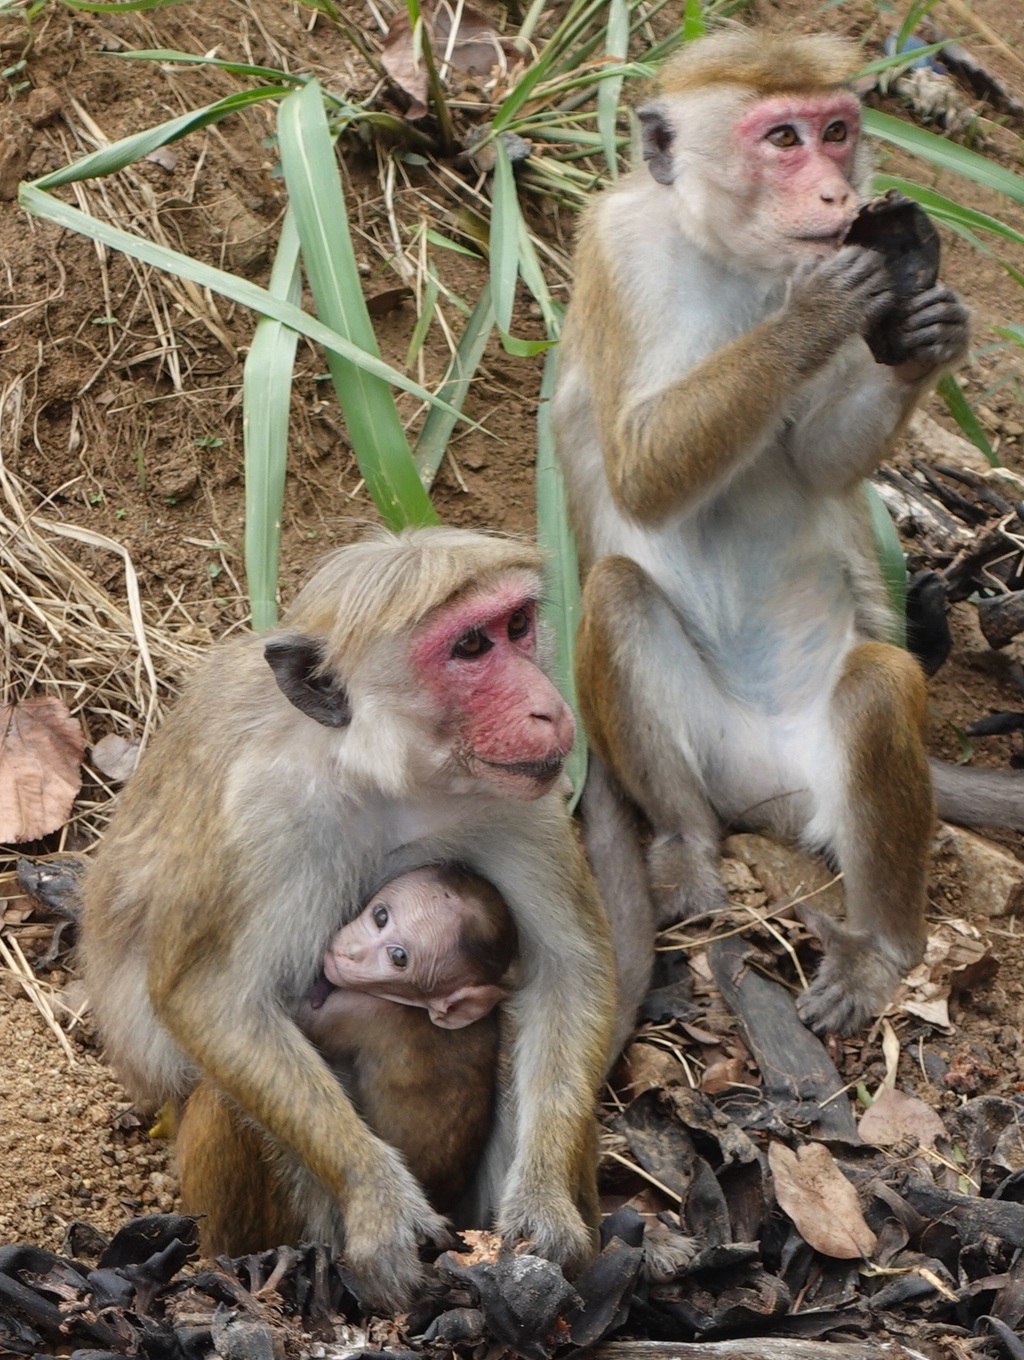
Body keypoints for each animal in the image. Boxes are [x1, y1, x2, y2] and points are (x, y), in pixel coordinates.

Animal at [552, 27, 1022, 1045]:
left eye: (838, 131)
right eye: (782, 140)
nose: (838, 195)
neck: (733, 261)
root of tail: (763, 787)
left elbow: (816, 463)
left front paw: (927, 332)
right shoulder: (617, 248)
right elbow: (640, 469)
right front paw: (815, 311)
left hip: (820, 773)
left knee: (879, 687)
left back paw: (881, 948)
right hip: (711, 757)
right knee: (615, 593)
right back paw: (688, 851)